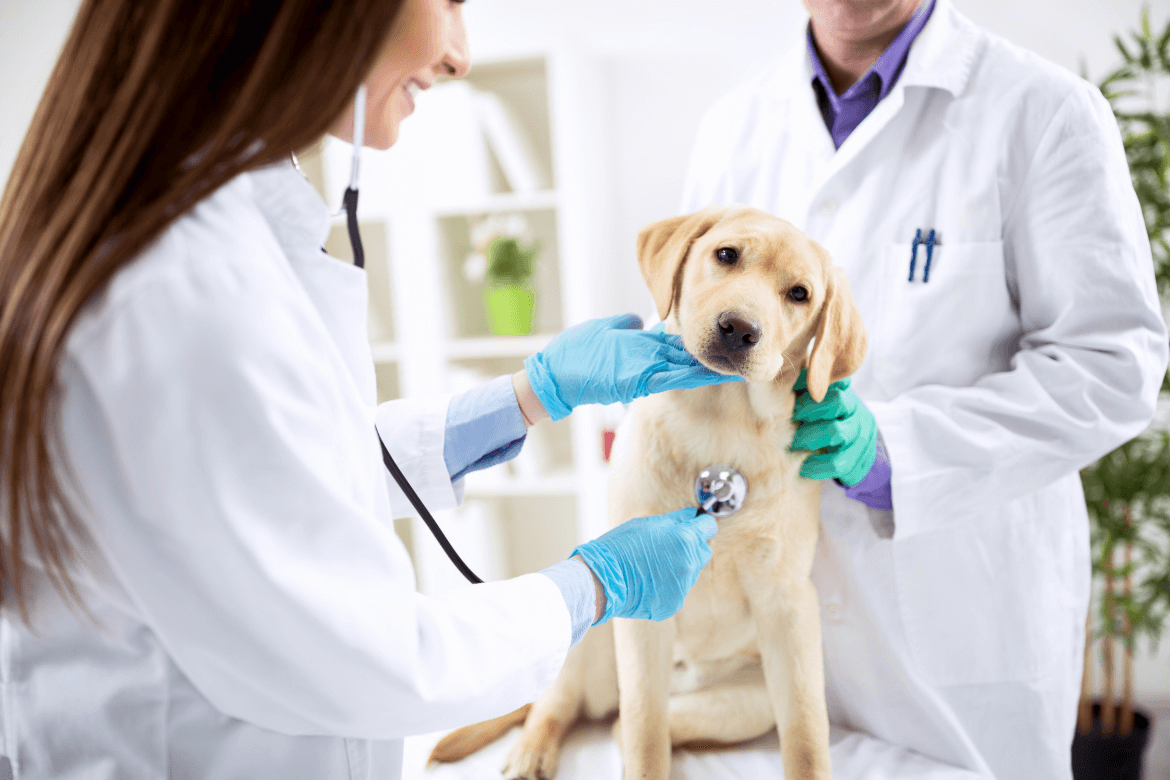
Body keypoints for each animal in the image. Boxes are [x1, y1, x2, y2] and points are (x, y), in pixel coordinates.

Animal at [432, 205, 870, 780]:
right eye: (726, 255)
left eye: (799, 294)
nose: (739, 328)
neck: (722, 422)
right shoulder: (639, 620)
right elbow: (643, 731)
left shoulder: (789, 608)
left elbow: (806, 737)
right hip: (594, 631)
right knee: (569, 706)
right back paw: (532, 751)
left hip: (747, 702)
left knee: (629, 724)